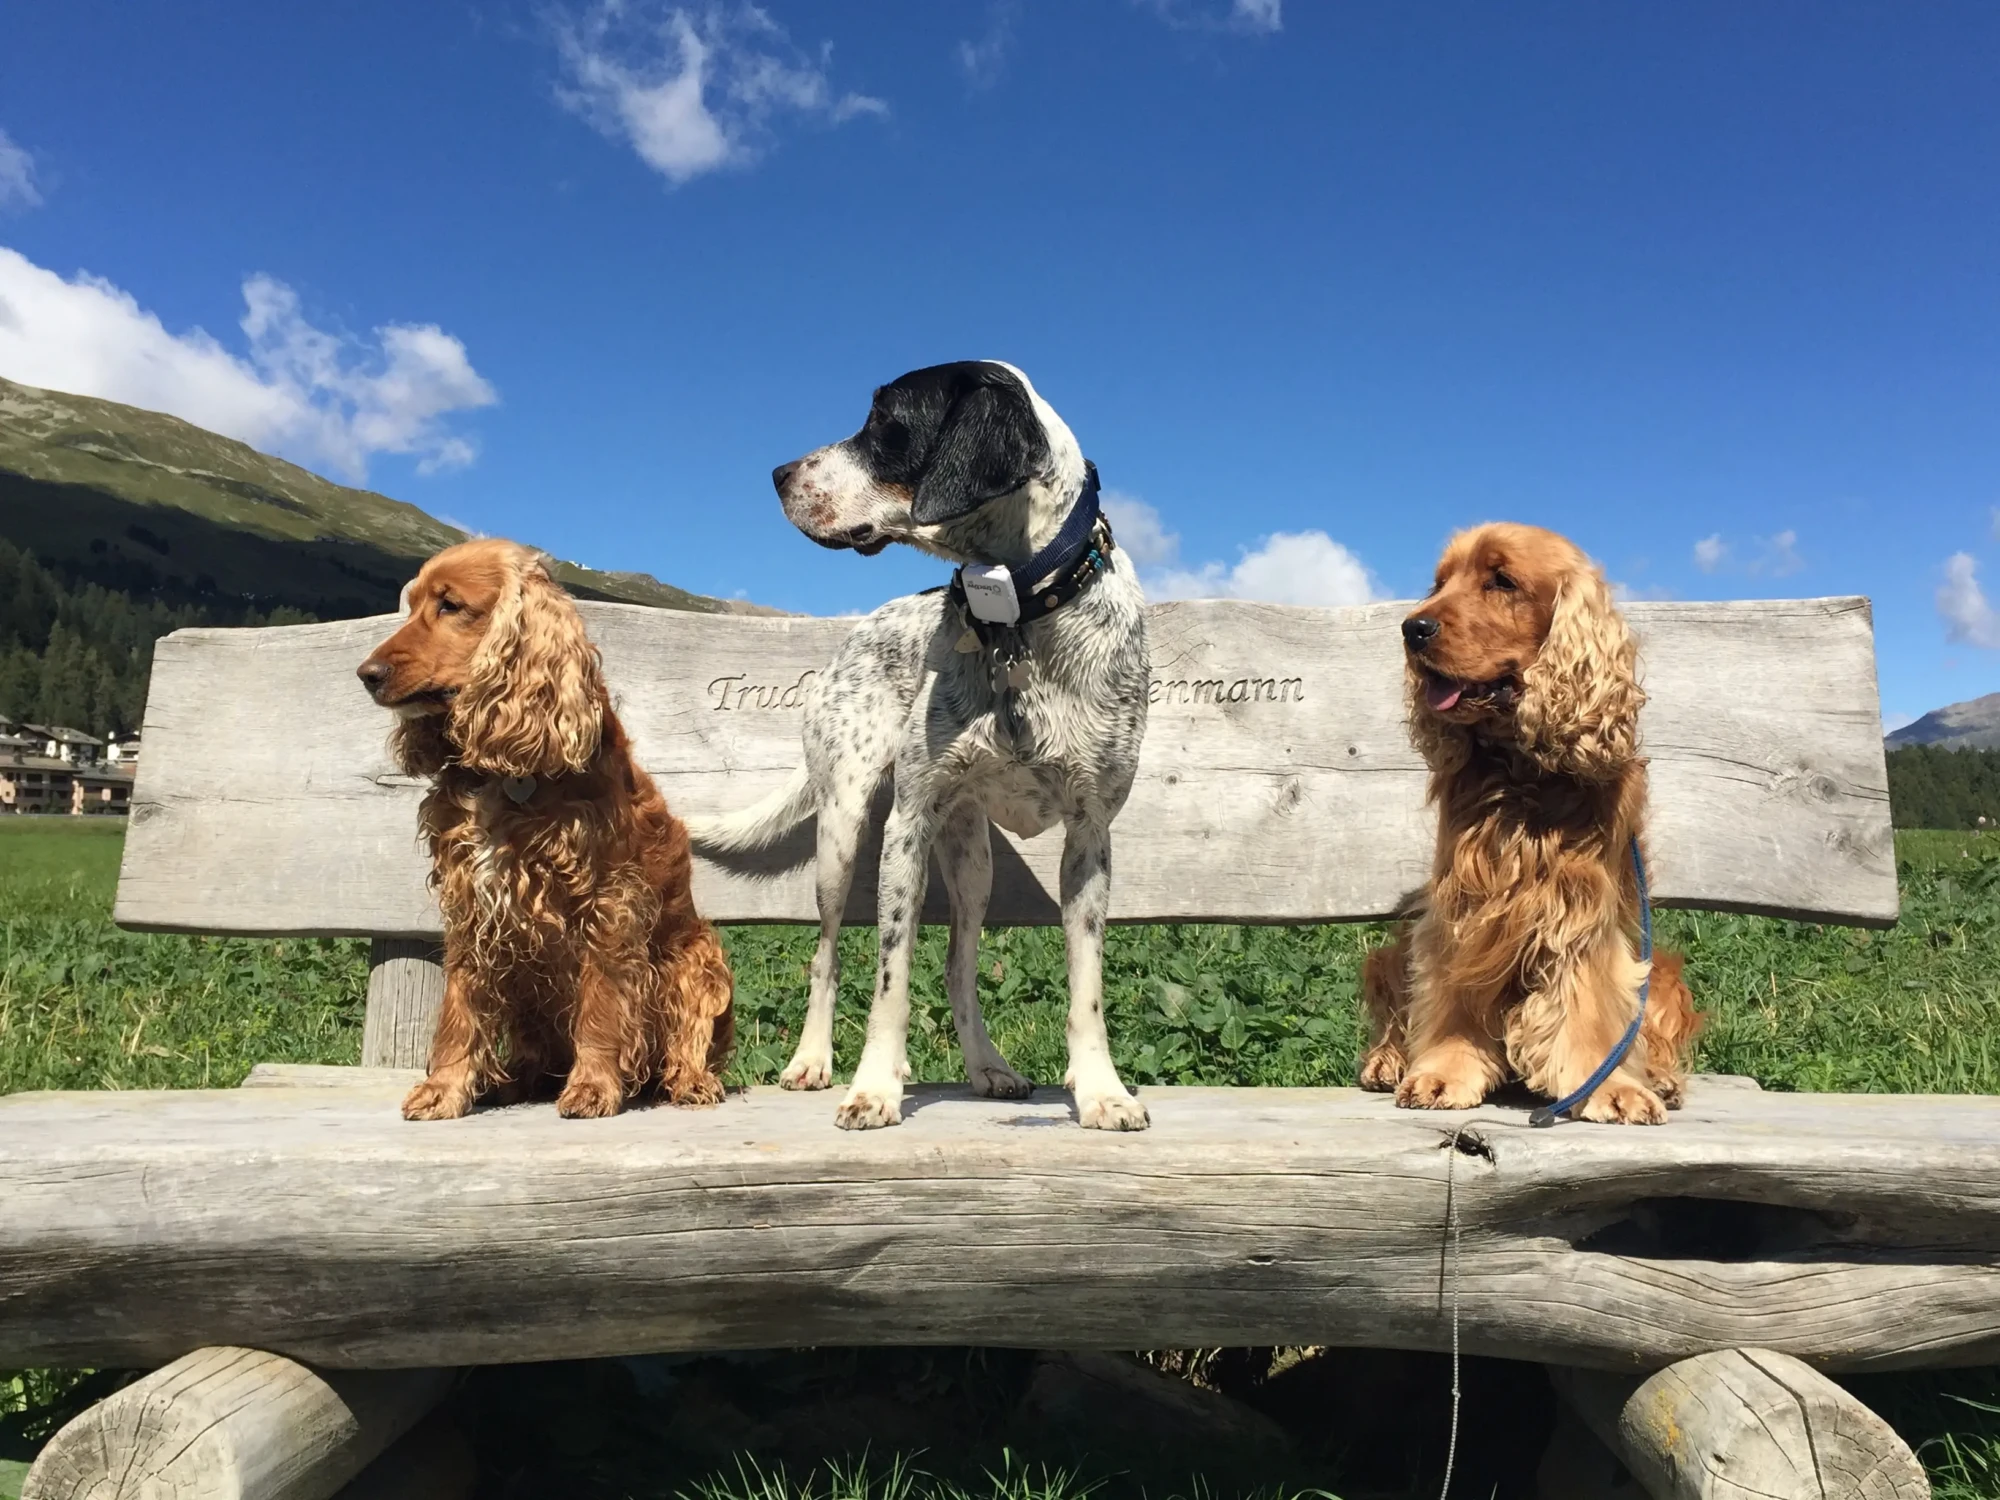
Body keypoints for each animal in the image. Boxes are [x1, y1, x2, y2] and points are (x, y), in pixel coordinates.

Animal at [357, 538, 734, 1120]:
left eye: (450, 605)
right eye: (412, 604)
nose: (366, 672)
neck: (506, 774)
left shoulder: (607, 901)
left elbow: (601, 1004)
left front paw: (594, 1086)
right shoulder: (472, 901)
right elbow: (459, 1009)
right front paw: (445, 1088)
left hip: (701, 957)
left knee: (689, 1040)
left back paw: (691, 1081)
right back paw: (513, 1080)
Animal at [689, 360, 1151, 1130]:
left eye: (885, 422)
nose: (779, 473)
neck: (1018, 617)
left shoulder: (1091, 838)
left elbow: (1085, 989)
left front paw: (1102, 1091)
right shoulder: (905, 828)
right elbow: (889, 978)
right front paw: (875, 1088)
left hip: (973, 860)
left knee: (959, 967)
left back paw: (987, 1066)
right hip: (844, 833)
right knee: (826, 955)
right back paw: (812, 1061)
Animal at [1359, 522, 1700, 1124]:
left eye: (1502, 581)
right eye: (1439, 583)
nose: (1412, 628)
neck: (1521, 773)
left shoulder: (1583, 910)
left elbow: (1590, 1003)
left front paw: (1609, 1086)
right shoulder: (1464, 908)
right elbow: (1451, 996)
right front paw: (1444, 1072)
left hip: (1659, 970)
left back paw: (1661, 1079)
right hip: (1392, 953)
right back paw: (1386, 1061)